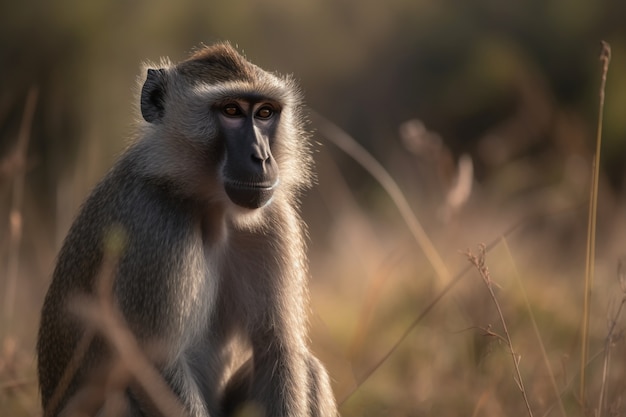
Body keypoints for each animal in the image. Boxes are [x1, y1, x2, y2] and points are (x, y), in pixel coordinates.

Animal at [36, 43, 338, 416]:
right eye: (231, 110)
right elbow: (155, 363)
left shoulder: (273, 219)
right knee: (117, 400)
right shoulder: (153, 224)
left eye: (265, 113)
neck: (209, 207)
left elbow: (276, 348)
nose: (262, 158)